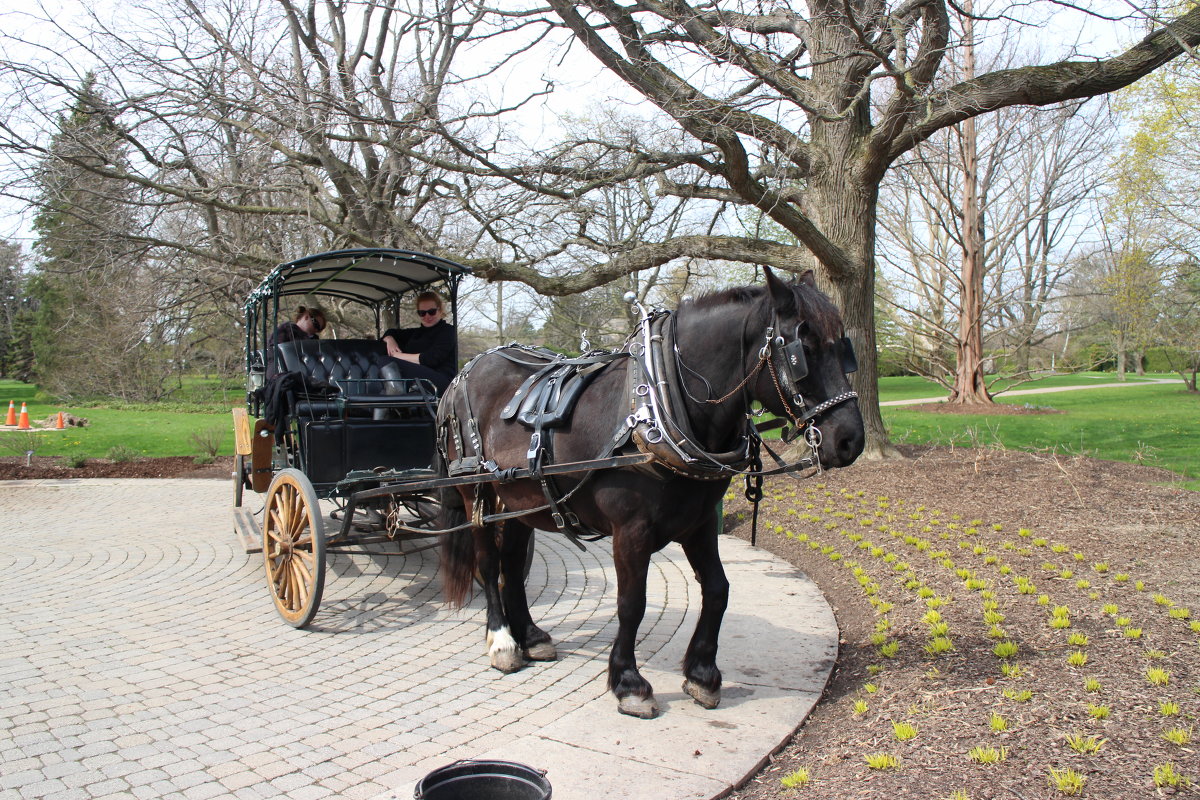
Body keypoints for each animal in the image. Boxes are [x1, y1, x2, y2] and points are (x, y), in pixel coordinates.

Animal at [439, 271, 864, 719]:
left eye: (844, 348)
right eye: (803, 350)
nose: (850, 440)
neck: (661, 405)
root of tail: (464, 373)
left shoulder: (698, 522)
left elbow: (718, 589)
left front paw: (702, 674)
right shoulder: (631, 530)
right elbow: (632, 603)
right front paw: (629, 683)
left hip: (521, 500)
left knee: (512, 561)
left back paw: (531, 636)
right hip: (475, 491)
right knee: (488, 563)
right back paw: (503, 641)